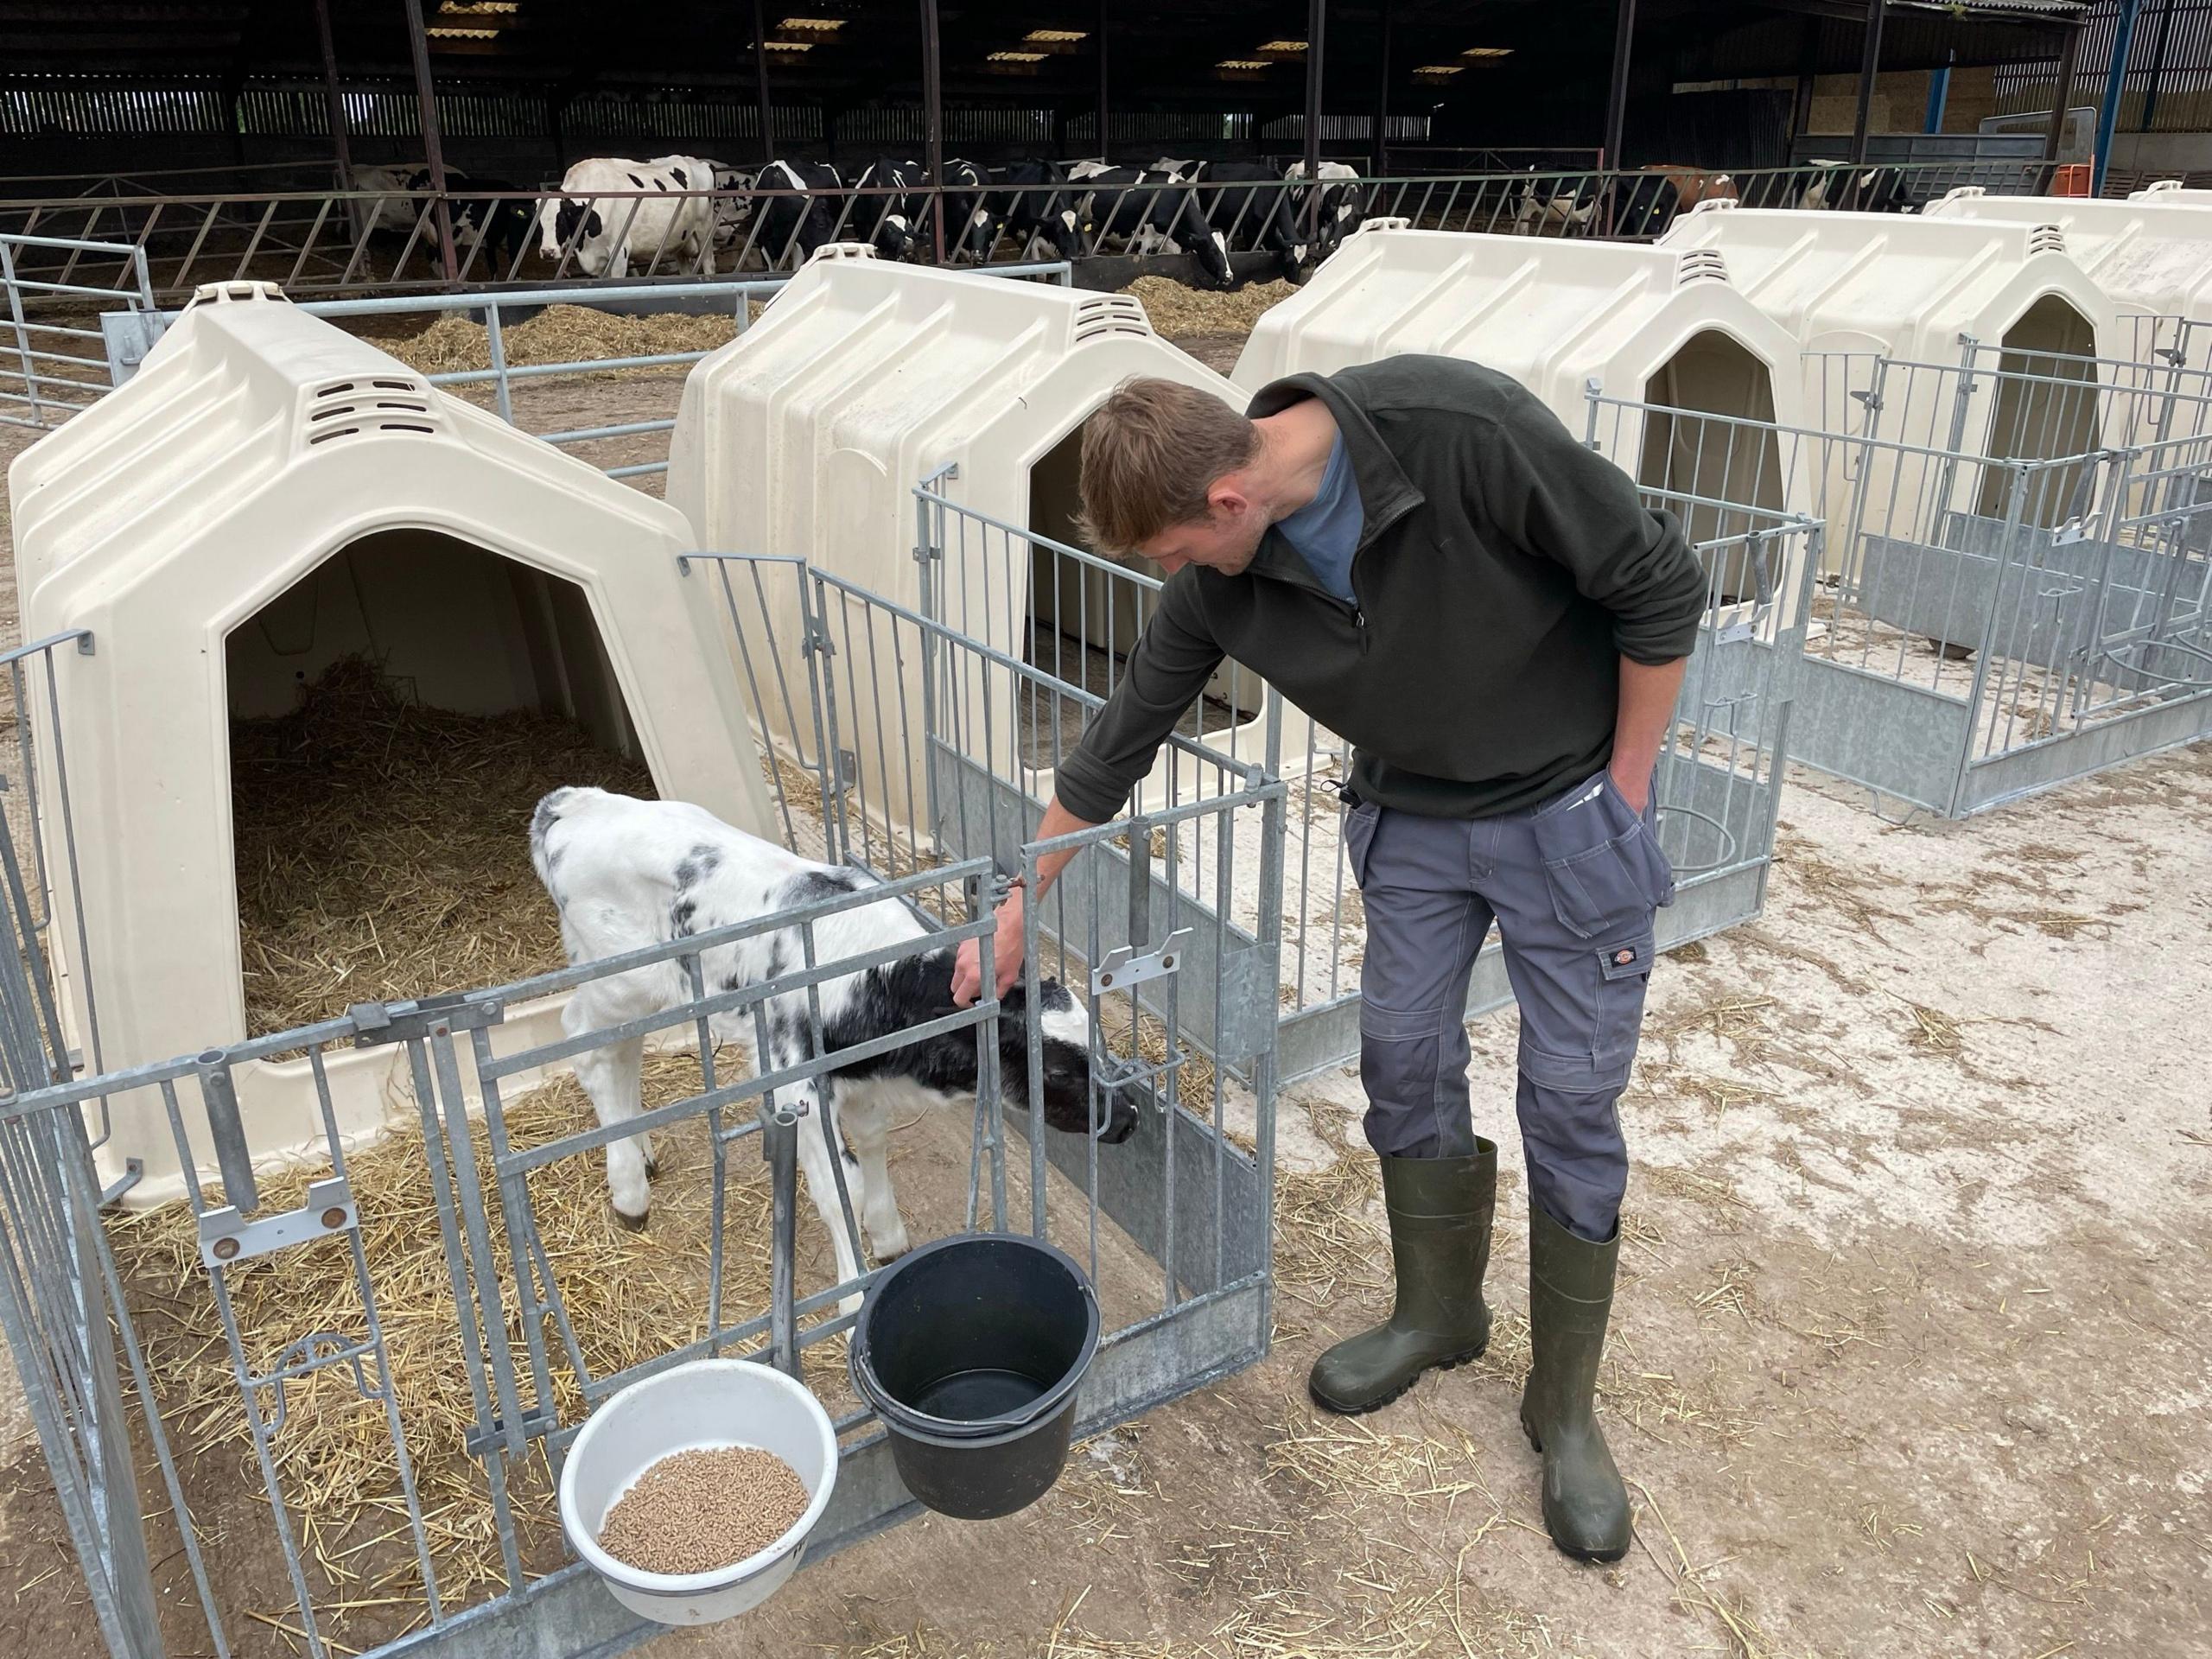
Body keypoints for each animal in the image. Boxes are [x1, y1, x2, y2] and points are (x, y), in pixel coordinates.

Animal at [528, 787, 1132, 1309]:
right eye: (1056, 1072)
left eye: (1100, 1043)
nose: (1127, 1120)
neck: (872, 978)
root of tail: (572, 804)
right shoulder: (799, 1087)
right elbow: (841, 1189)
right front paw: (854, 1297)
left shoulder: (862, 1079)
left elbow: (872, 1144)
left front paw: (888, 1237)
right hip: (619, 982)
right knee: (589, 1048)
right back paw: (629, 1190)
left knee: (620, 1055)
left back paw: (643, 1154)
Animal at [535, 155, 716, 277]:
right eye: (539, 225)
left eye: (561, 221)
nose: (547, 252)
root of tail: (699, 162)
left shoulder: (620, 252)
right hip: (680, 239)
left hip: (704, 232)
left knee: (709, 264)